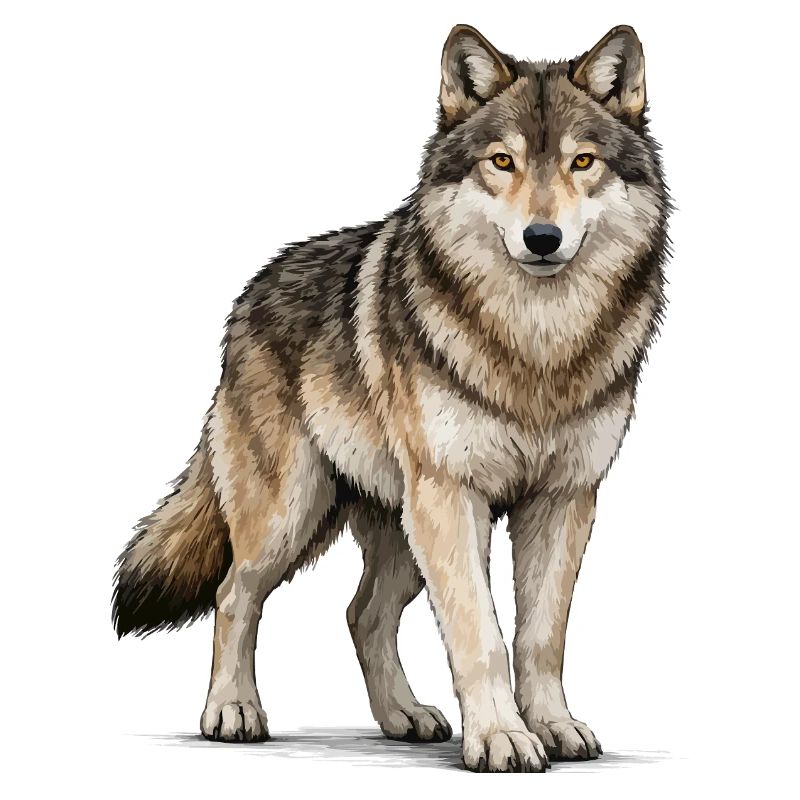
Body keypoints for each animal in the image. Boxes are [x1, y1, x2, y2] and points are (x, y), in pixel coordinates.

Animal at [113, 24, 669, 772]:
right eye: (502, 162)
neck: (535, 345)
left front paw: (552, 726)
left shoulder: (565, 499)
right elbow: (481, 636)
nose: (542, 238)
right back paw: (232, 711)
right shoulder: (452, 496)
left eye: (583, 162)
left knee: (362, 613)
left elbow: (540, 636)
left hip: (401, 531)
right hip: (294, 514)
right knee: (235, 593)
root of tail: (250, 293)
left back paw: (403, 715)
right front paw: (501, 738)